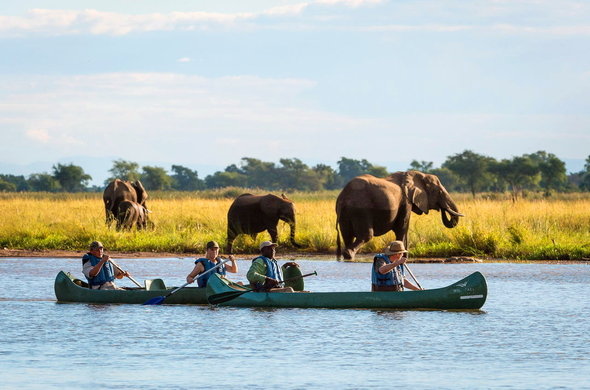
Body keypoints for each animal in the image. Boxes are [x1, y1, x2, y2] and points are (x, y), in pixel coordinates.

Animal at [336, 170, 464, 258]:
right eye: (438, 191)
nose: (442, 208)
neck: (417, 174)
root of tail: (344, 195)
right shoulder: (405, 201)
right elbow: (402, 228)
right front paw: (404, 257)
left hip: (345, 211)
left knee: (347, 235)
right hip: (360, 209)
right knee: (366, 235)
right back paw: (349, 255)